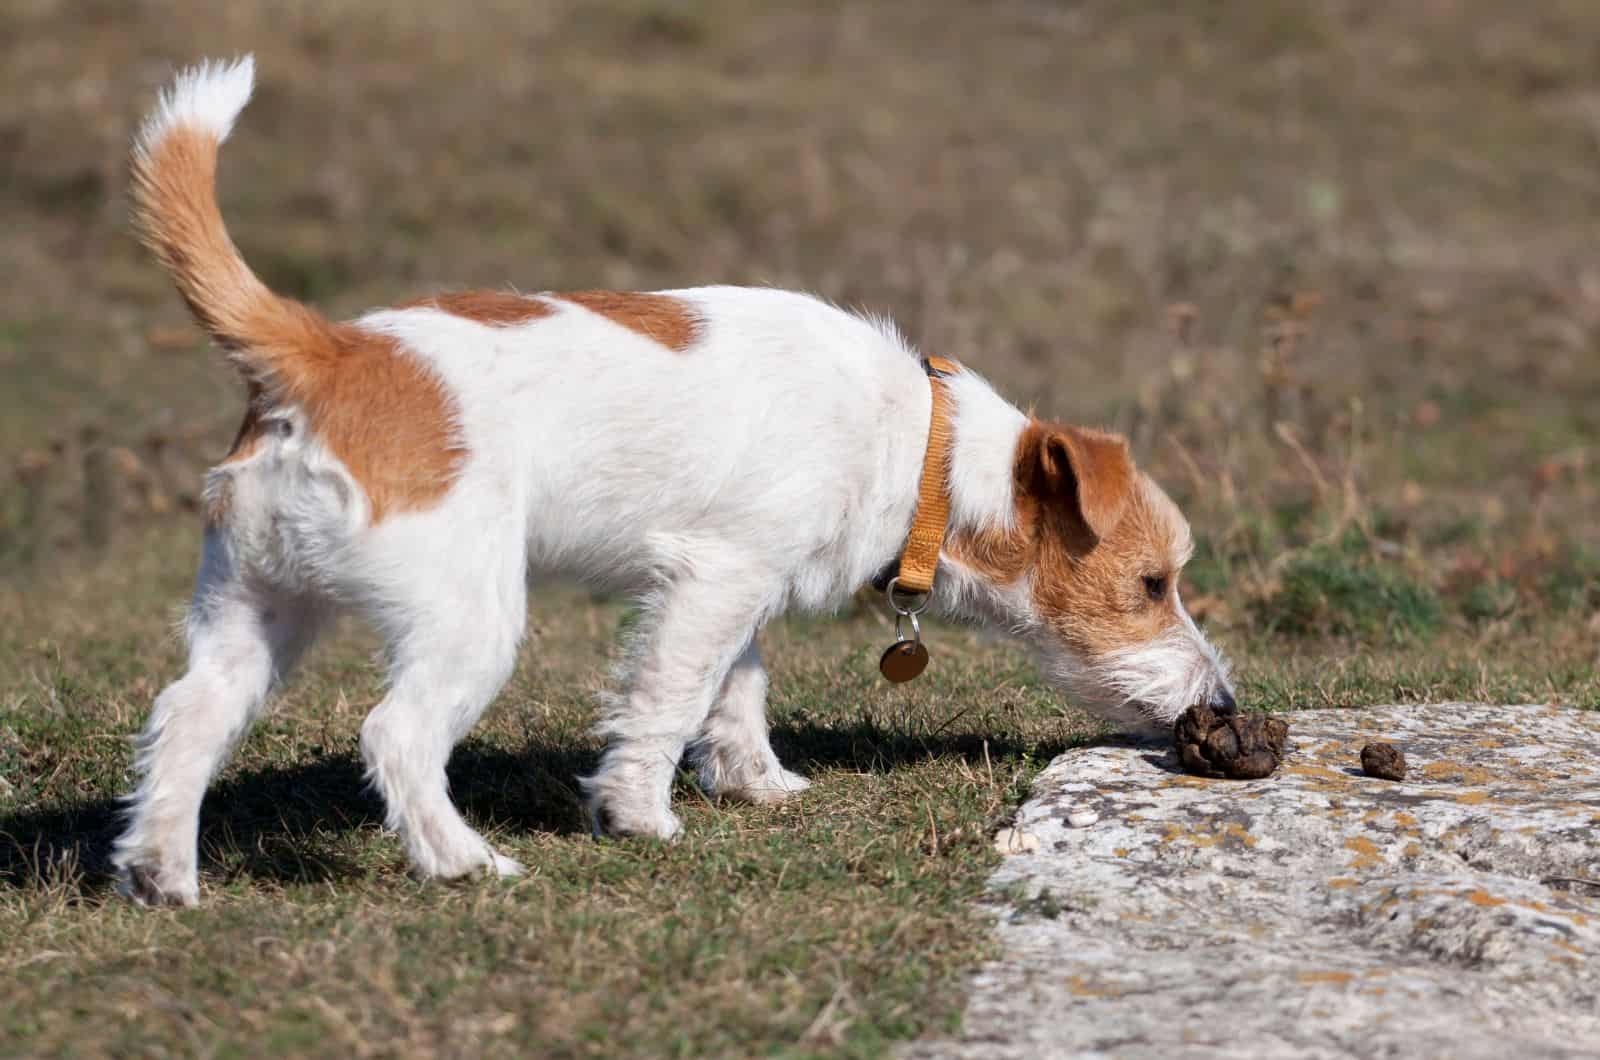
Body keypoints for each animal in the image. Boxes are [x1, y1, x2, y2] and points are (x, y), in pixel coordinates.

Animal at [116, 58, 1235, 903]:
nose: (1223, 701)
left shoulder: (731, 588)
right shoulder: (714, 582)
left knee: (186, 717)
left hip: (258, 605)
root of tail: (324, 352)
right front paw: (639, 815)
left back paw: (163, 875)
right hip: (468, 616)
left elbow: (735, 691)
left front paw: (759, 783)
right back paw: (465, 862)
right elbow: (667, 699)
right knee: (395, 735)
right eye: (1151, 585)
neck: (923, 448)